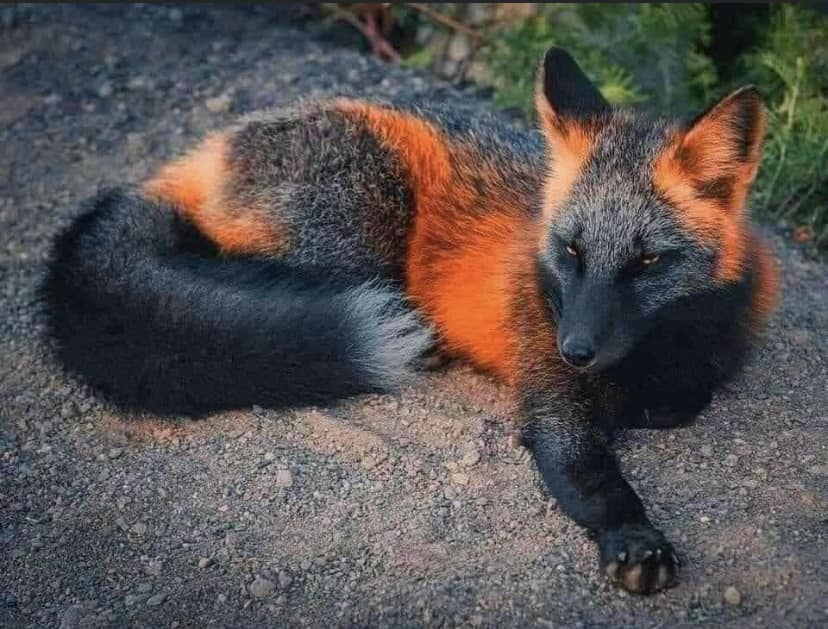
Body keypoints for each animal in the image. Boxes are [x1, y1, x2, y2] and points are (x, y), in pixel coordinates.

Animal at [43, 49, 784, 592]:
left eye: (648, 261)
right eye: (571, 251)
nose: (574, 349)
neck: (654, 351)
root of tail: (213, 145)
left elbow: (688, 396)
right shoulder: (547, 392)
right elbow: (591, 474)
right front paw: (633, 537)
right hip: (361, 225)